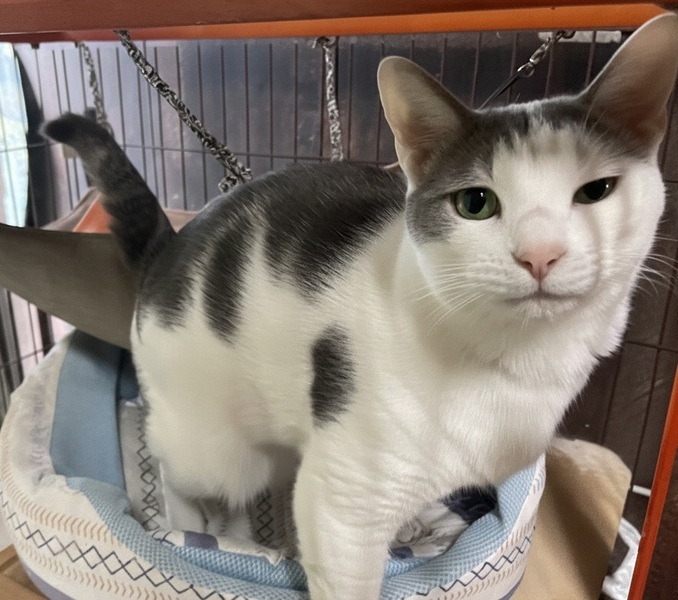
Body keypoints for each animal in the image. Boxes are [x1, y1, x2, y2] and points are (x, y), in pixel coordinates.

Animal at [44, 14, 678, 599]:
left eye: (595, 192)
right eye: (476, 203)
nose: (540, 255)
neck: (512, 358)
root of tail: (168, 248)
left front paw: (414, 525)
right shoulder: (343, 500)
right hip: (210, 443)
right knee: (177, 465)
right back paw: (187, 527)